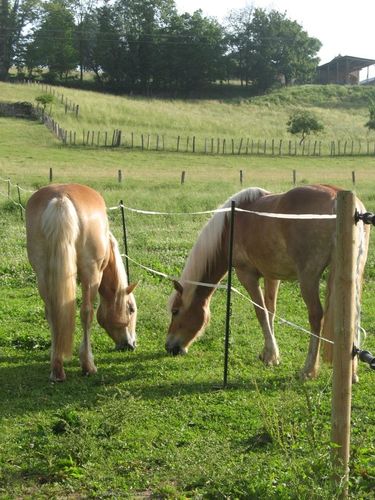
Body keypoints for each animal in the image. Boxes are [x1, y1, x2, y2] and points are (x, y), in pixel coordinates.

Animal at [26, 184, 138, 382]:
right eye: (131, 309)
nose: (131, 344)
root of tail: (61, 198)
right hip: (90, 274)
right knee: (87, 313)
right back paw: (88, 365)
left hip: (42, 275)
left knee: (52, 313)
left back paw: (57, 367)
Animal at [167, 186, 370, 380]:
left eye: (175, 311)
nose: (169, 347)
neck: (230, 225)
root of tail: (336, 198)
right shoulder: (272, 276)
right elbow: (270, 310)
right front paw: (268, 354)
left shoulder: (246, 275)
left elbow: (261, 312)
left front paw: (272, 355)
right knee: (354, 316)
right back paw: (352, 373)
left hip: (308, 279)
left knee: (316, 317)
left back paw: (308, 370)